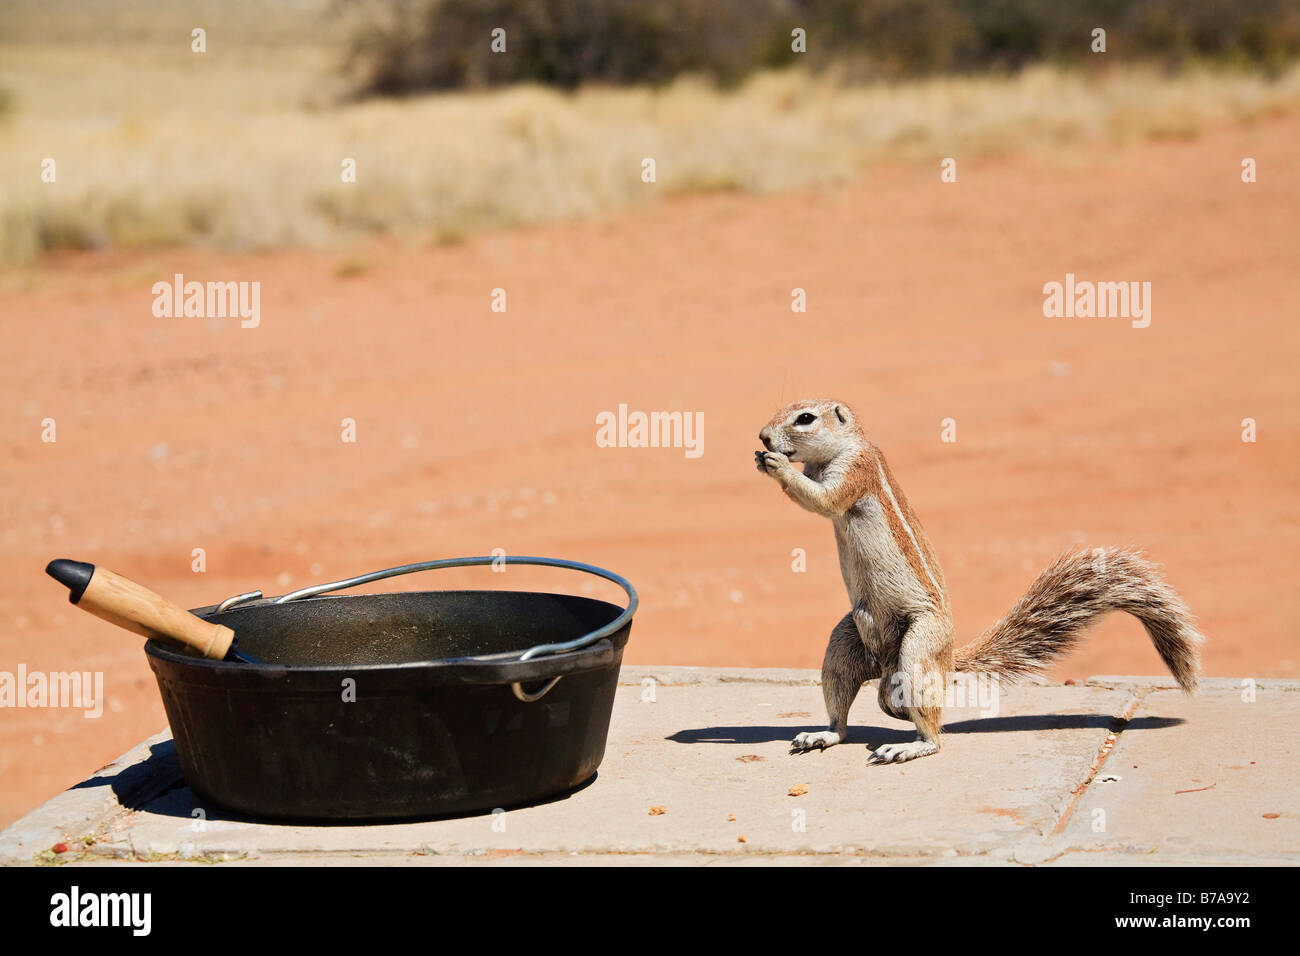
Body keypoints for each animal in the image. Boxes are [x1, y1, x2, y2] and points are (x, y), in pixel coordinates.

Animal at [759, 400, 1201, 764]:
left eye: (805, 418)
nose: (763, 436)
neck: (839, 450)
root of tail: (946, 657)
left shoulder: (856, 471)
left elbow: (824, 499)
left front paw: (775, 464)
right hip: (845, 641)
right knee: (844, 710)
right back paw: (823, 735)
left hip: (919, 645)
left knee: (933, 731)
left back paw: (910, 746)